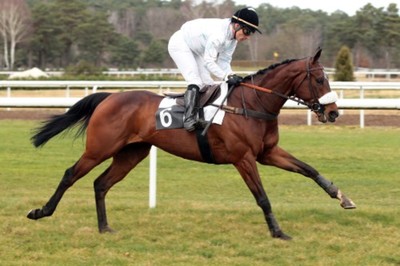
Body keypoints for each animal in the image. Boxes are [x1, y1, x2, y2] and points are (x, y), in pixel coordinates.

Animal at [26, 48, 354, 241]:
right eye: (321, 80)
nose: (333, 112)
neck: (251, 104)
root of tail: (109, 97)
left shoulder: (267, 153)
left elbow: (309, 169)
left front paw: (342, 197)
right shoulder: (243, 158)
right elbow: (262, 197)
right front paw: (278, 231)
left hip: (131, 153)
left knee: (101, 184)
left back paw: (105, 227)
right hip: (99, 148)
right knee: (71, 174)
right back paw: (41, 212)